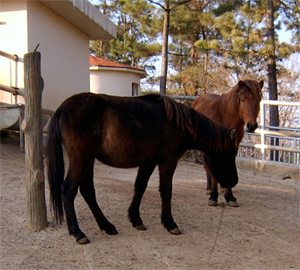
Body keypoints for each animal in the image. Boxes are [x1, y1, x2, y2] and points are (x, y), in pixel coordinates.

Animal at [47, 93, 238, 245]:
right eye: (230, 154)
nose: (234, 181)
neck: (176, 122)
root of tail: (63, 108)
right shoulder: (168, 161)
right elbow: (166, 190)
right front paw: (170, 223)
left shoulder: (148, 162)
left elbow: (140, 187)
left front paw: (136, 219)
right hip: (82, 159)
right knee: (68, 190)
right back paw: (78, 232)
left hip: (88, 160)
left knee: (87, 191)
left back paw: (107, 226)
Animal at [192, 79, 262, 207]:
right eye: (242, 99)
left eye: (258, 99)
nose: (251, 125)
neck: (224, 115)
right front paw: (213, 197)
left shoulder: (233, 147)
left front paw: (230, 197)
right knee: (207, 166)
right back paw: (209, 188)